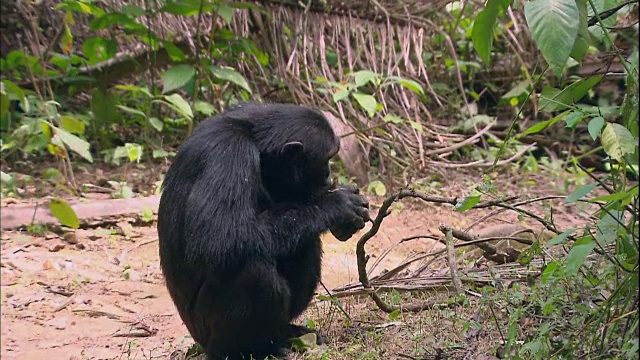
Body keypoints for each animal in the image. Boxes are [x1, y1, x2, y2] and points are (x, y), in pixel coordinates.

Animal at [156, 102, 372, 358]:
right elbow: (217, 238)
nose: (329, 177)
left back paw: (287, 334)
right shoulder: (228, 155)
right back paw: (249, 350)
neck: (255, 141)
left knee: (305, 244)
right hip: (205, 332)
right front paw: (336, 205)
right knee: (254, 274)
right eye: (326, 158)